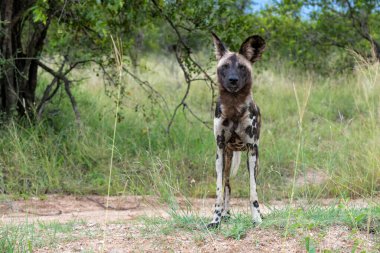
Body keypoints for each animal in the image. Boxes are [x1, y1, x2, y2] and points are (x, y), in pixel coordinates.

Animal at [208, 32, 264, 228]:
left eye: (241, 67)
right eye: (225, 66)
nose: (233, 80)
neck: (234, 107)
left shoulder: (252, 151)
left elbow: (253, 191)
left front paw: (257, 218)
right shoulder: (219, 149)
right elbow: (219, 191)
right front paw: (215, 220)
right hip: (227, 157)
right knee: (227, 186)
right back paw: (225, 214)